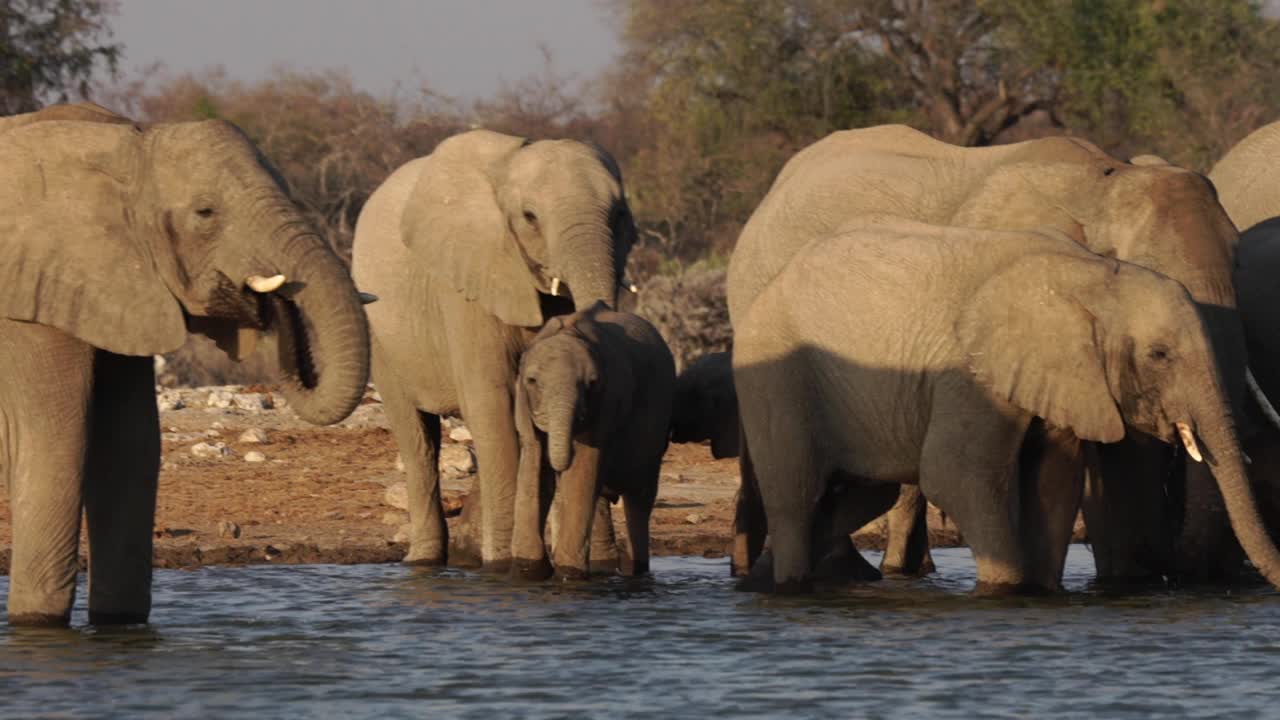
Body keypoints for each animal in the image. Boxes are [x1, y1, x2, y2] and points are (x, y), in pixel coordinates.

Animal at [0, 106, 373, 622]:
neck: (119, 143)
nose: (276, 305)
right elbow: (58, 445)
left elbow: (130, 447)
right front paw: (37, 626)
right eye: (205, 213)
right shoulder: (28, 300)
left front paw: (119, 625)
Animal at [350, 127, 634, 566]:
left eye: (620, 214)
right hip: (382, 335)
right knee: (418, 438)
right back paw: (426, 560)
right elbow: (493, 399)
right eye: (530, 217)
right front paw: (505, 564)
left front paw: (600, 566)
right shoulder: (466, 283)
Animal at [509, 298, 675, 576]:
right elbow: (534, 462)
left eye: (592, 384)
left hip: (658, 424)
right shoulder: (523, 404)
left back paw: (636, 571)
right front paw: (528, 569)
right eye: (532, 381)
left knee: (639, 498)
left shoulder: (607, 401)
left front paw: (568, 573)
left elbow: (584, 467)